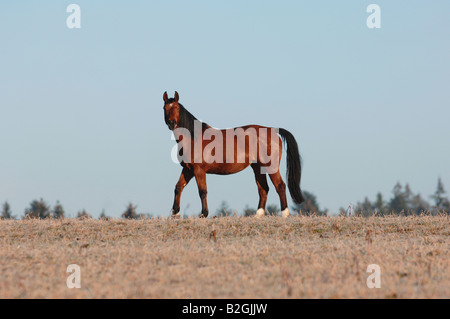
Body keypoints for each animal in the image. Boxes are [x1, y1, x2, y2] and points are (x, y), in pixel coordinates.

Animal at [163, 91, 304, 219]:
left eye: (177, 107)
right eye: (165, 108)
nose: (172, 123)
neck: (194, 138)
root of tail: (273, 129)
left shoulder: (199, 170)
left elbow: (202, 192)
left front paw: (203, 214)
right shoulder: (188, 169)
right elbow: (178, 187)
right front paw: (175, 213)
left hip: (271, 166)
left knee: (280, 186)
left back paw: (284, 214)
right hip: (258, 168)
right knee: (263, 189)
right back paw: (258, 215)